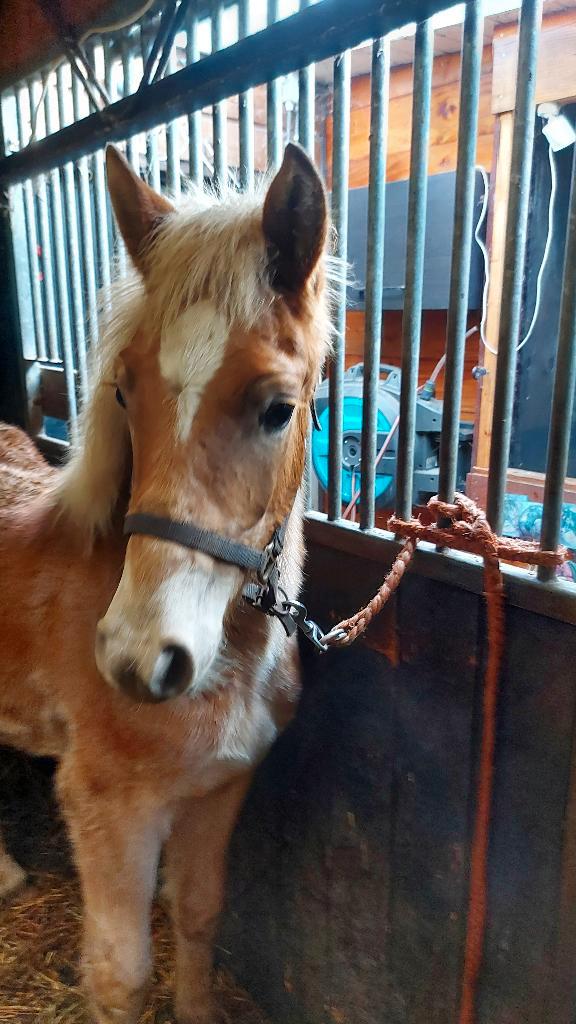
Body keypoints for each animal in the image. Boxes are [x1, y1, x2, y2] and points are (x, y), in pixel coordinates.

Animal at [0, 142, 332, 1024]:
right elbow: (122, 976)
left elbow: (198, 915)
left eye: (278, 408)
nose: (138, 659)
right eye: (123, 391)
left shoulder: (220, 790)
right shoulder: (108, 809)